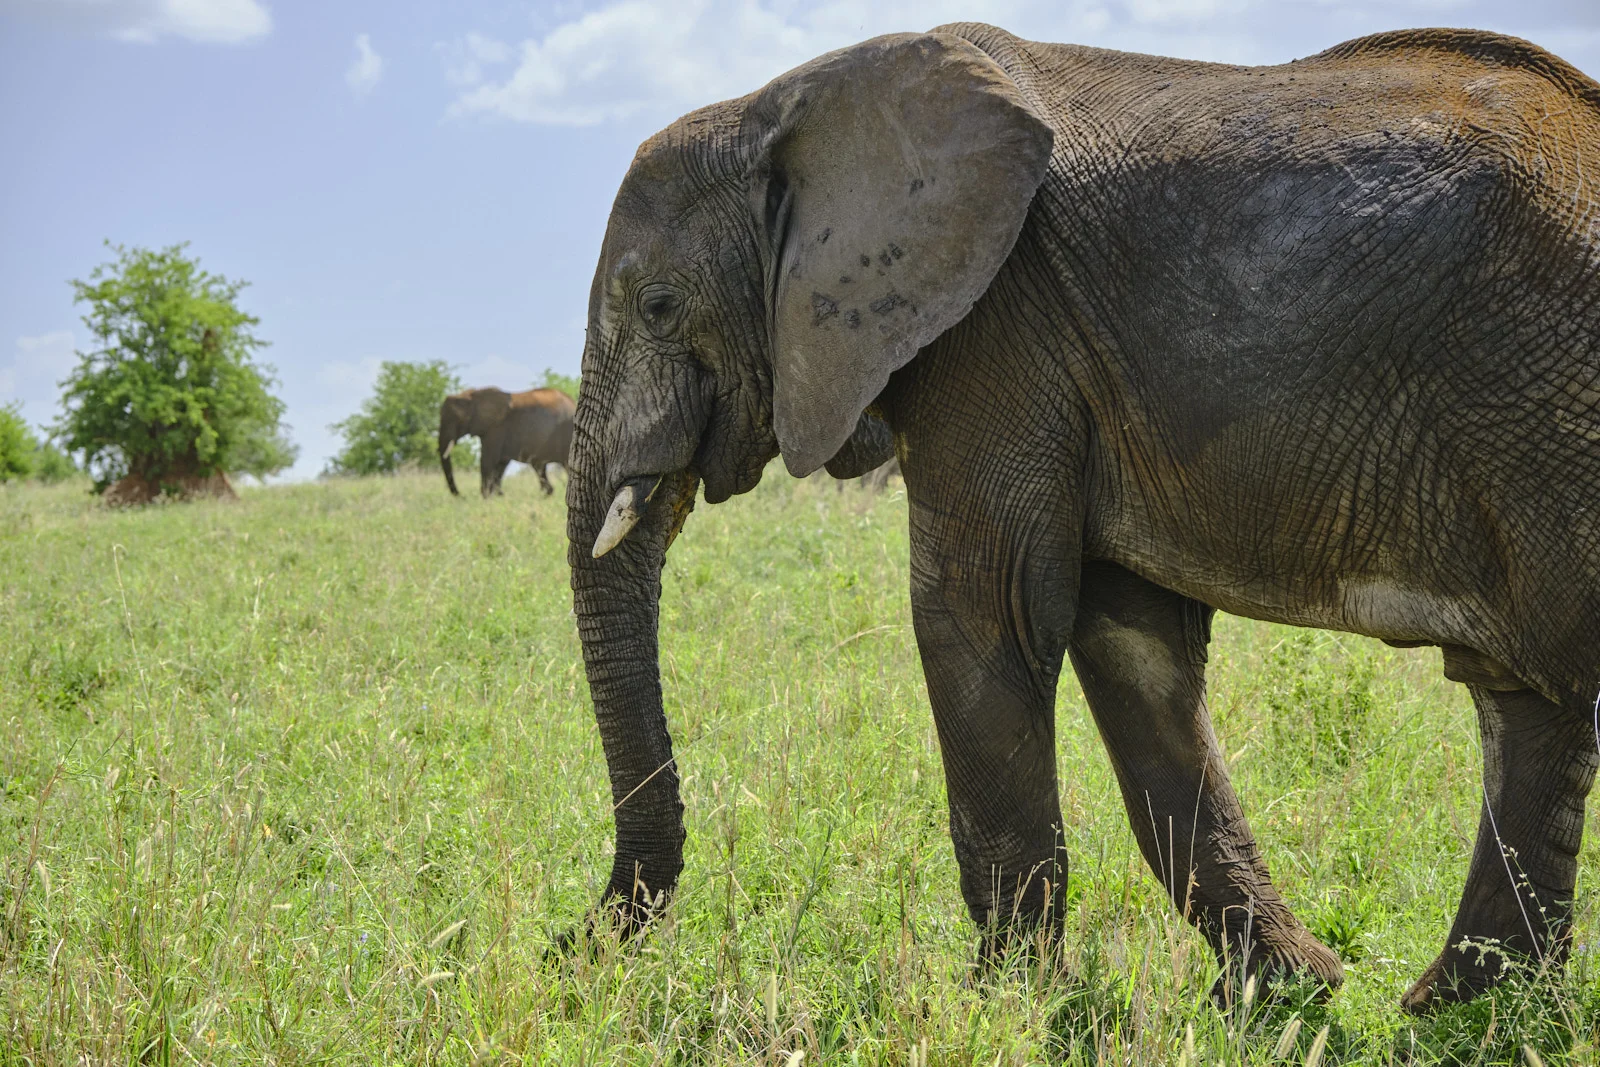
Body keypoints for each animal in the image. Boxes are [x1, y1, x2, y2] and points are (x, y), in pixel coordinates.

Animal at [439, 386, 574, 498]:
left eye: (455, 420)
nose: (460, 496)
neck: (471, 396)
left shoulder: (496, 428)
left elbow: (487, 460)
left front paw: (486, 496)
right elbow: (500, 463)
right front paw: (498, 495)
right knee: (539, 467)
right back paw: (547, 494)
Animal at [563, 23, 1600, 1013]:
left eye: (658, 305)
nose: (569, 943)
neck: (784, 103)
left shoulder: (998, 330)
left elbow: (978, 614)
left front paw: (1007, 1006)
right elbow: (1133, 650)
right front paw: (1284, 990)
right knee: (1531, 705)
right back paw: (1463, 1009)